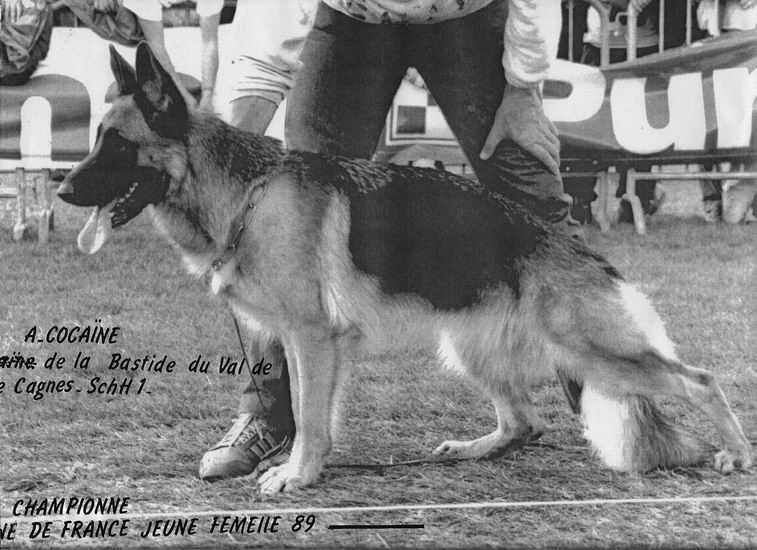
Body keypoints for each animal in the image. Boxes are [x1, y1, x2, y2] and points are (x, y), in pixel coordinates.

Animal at [59, 45, 752, 496]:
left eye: (116, 145)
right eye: (93, 139)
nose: (63, 190)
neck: (245, 191)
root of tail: (575, 244)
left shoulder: (313, 338)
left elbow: (311, 417)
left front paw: (297, 475)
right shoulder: (301, 341)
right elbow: (309, 411)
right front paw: (301, 466)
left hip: (590, 346)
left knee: (700, 380)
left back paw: (735, 453)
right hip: (470, 347)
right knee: (524, 422)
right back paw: (471, 450)